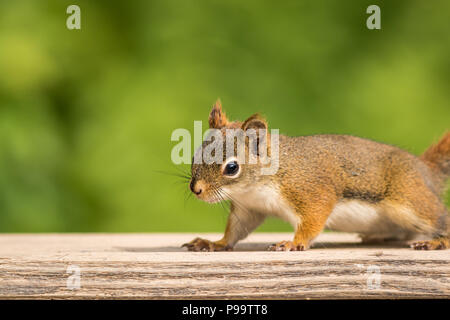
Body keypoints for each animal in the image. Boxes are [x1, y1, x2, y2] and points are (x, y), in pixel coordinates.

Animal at [182, 101, 450, 251]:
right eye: (196, 153)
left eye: (231, 168)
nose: (196, 189)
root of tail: (425, 170)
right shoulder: (249, 209)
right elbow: (236, 231)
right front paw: (214, 243)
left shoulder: (310, 191)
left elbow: (312, 220)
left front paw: (293, 243)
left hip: (409, 201)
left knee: (440, 219)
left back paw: (437, 241)